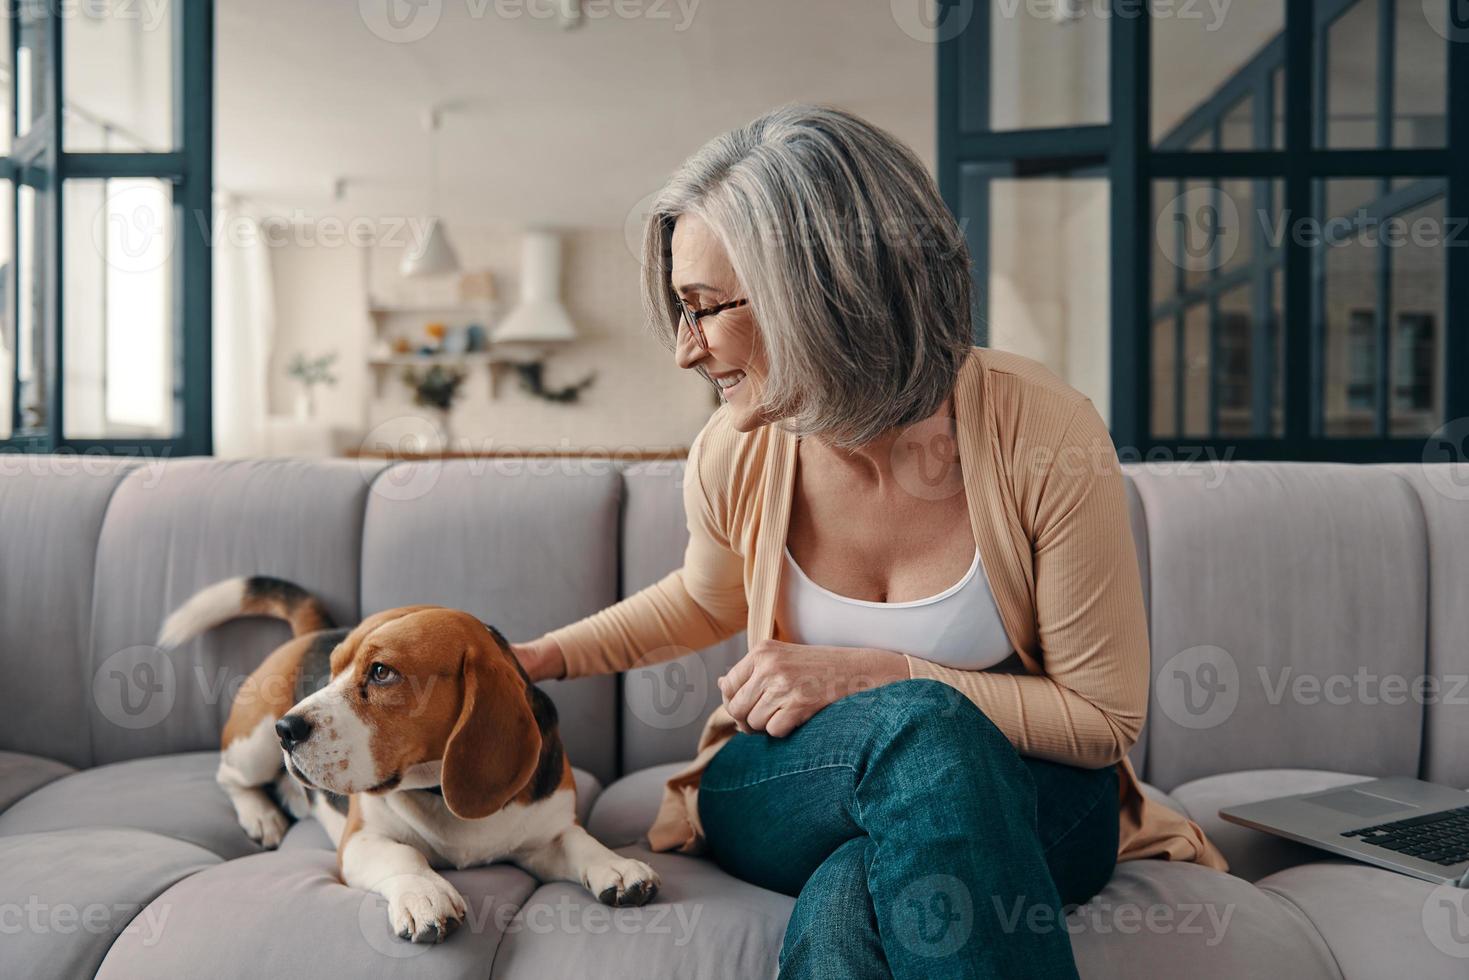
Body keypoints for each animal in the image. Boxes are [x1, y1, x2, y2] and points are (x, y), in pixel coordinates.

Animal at [160, 575, 661, 940]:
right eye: (333, 670)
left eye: (382, 672)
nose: (288, 729)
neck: (437, 790)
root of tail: (313, 632)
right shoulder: (360, 841)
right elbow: (404, 854)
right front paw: (425, 894)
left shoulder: (544, 832)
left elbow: (578, 841)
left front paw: (617, 865)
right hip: (253, 747)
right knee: (228, 777)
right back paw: (261, 815)